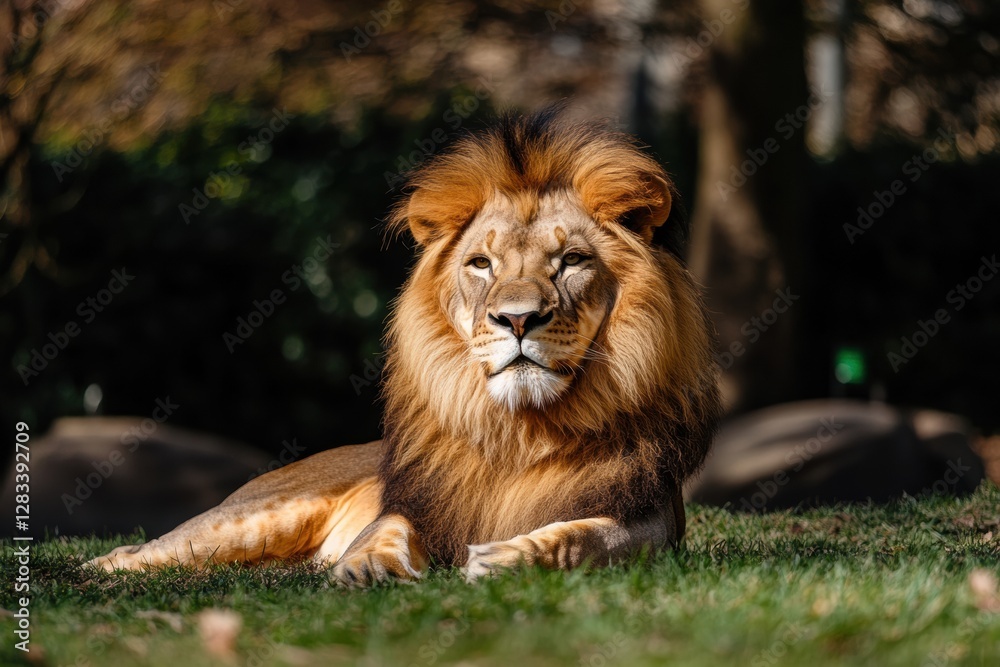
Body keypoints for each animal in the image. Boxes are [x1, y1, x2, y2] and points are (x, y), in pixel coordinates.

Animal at [88, 110, 722, 585]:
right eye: (481, 264)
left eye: (571, 261)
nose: (517, 319)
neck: (520, 430)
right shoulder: (414, 506)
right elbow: (387, 529)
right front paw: (366, 567)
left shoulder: (648, 525)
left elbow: (582, 538)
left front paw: (508, 556)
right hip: (250, 519)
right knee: (133, 554)